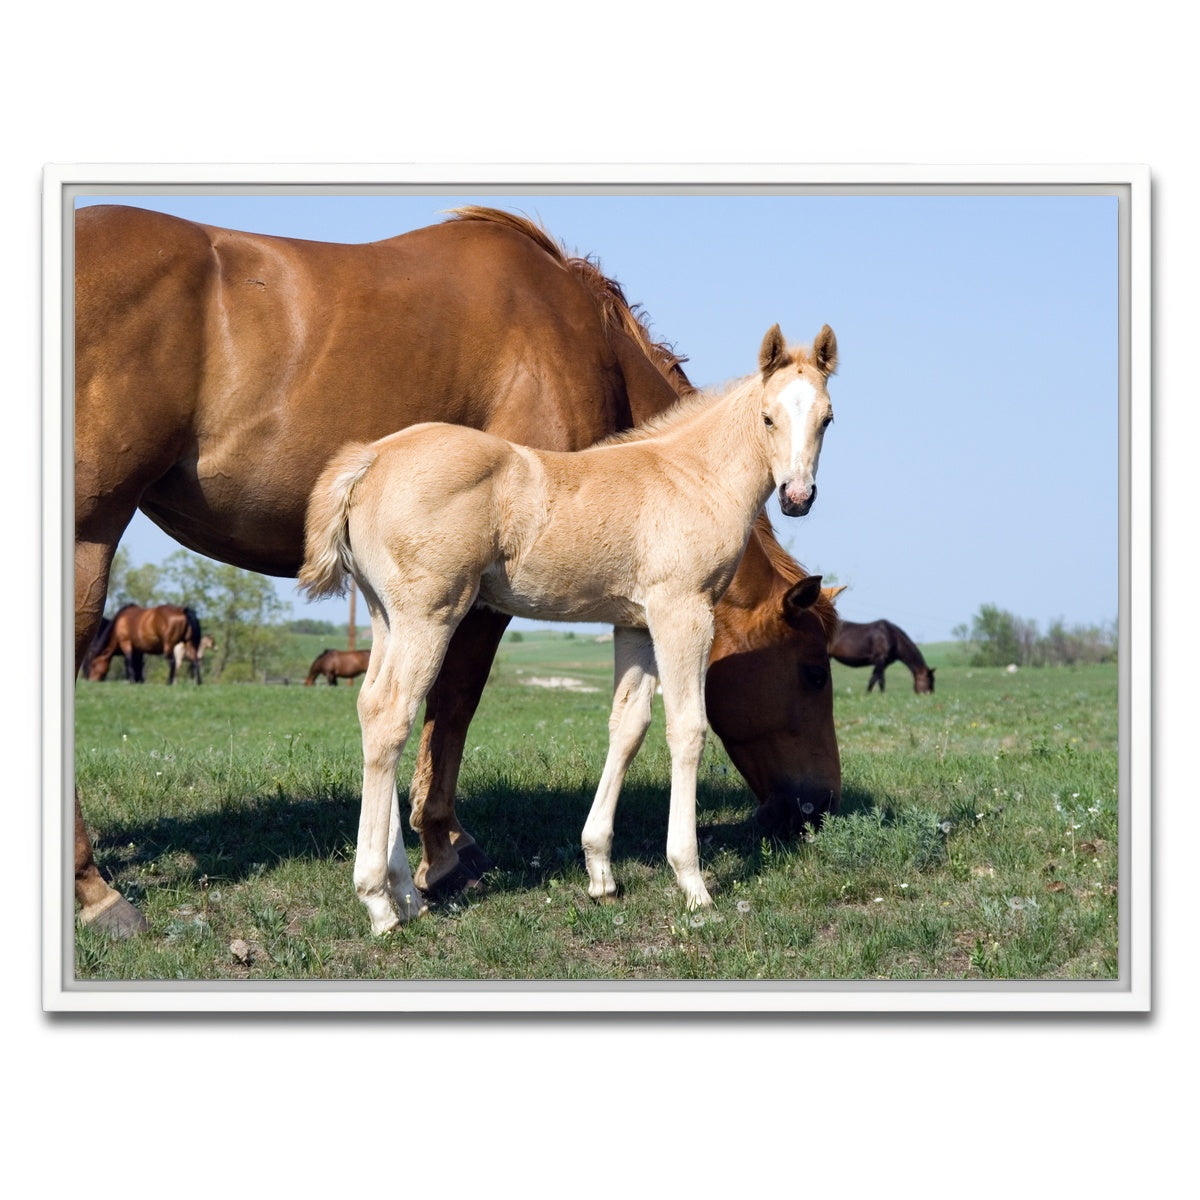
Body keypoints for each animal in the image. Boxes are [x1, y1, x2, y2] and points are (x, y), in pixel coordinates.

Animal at [300, 323, 837, 931]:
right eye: (768, 417)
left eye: (827, 417)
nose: (797, 497)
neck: (692, 478)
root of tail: (370, 457)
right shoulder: (682, 611)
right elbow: (688, 729)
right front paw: (692, 881)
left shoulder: (634, 624)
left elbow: (628, 727)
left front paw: (601, 872)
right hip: (428, 615)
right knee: (392, 715)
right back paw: (379, 903)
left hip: (385, 616)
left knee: (371, 707)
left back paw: (407, 896)